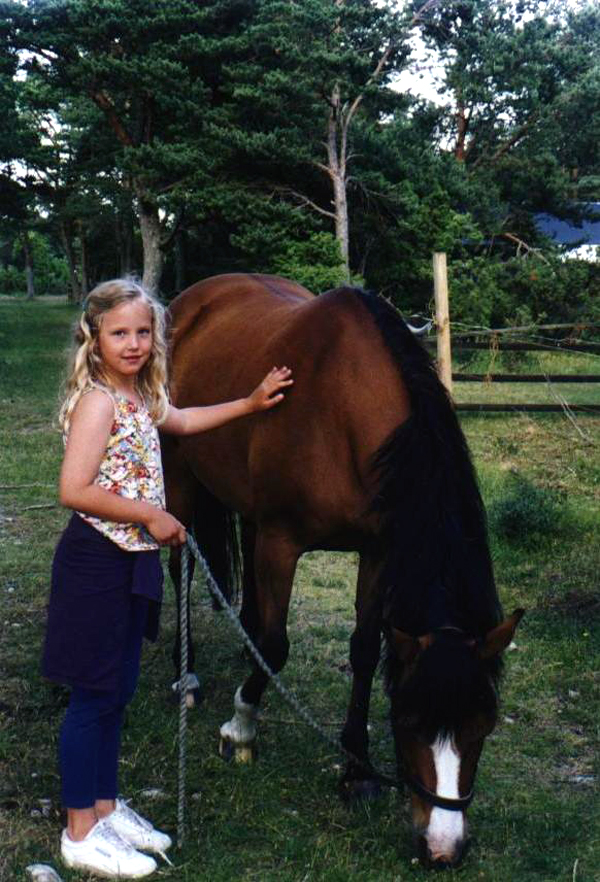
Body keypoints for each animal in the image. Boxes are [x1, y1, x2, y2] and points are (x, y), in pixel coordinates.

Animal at [162, 274, 524, 868]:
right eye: (409, 722)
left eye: (485, 726)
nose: (442, 849)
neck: (345, 412)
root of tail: (189, 299)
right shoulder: (283, 542)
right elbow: (278, 645)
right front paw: (241, 727)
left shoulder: (376, 552)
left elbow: (363, 650)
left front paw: (357, 769)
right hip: (181, 475)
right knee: (182, 568)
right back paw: (186, 675)